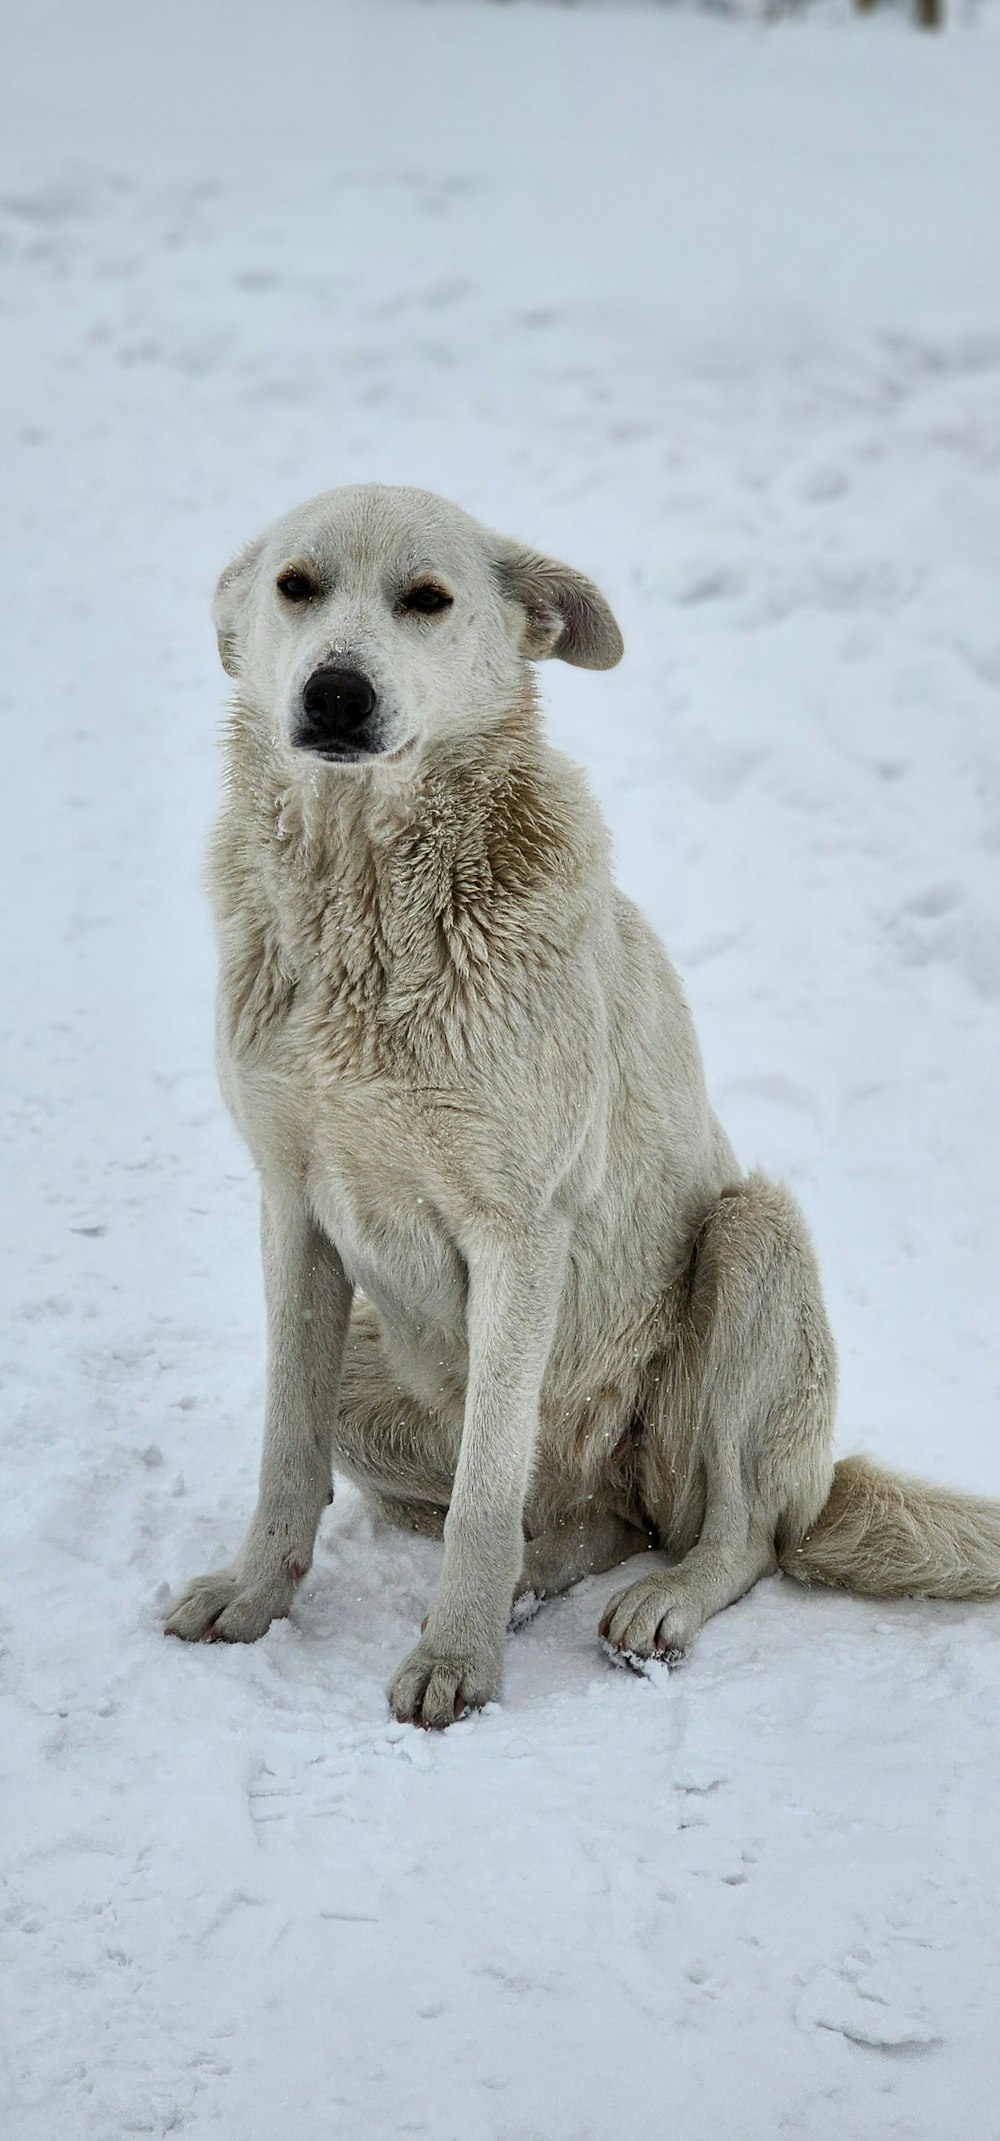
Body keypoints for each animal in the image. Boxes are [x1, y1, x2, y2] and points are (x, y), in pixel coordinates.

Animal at [165, 481, 1000, 1721]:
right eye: (296, 587)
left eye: (426, 598)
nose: (335, 691)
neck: (369, 901)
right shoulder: (293, 1209)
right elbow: (285, 1449)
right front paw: (254, 1596)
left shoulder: (519, 1231)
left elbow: (483, 1488)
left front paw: (455, 1661)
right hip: (379, 1362)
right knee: (584, 1521)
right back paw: (540, 1573)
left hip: (751, 1240)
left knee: (734, 1532)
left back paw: (655, 1601)